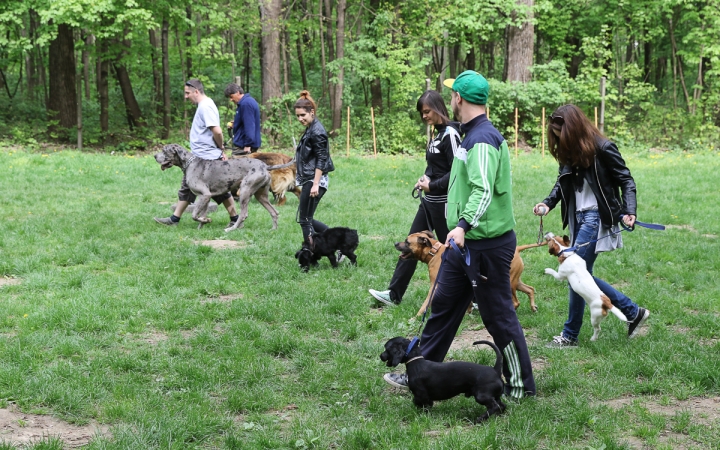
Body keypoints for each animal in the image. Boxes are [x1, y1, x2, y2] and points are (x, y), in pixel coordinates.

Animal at [394, 232, 544, 316]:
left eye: (407, 242)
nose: (395, 243)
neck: (434, 252)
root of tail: (517, 249)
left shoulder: (435, 286)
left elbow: (425, 304)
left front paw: (416, 317)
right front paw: (468, 311)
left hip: (509, 282)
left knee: (516, 302)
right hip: (515, 281)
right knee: (530, 289)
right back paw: (533, 307)